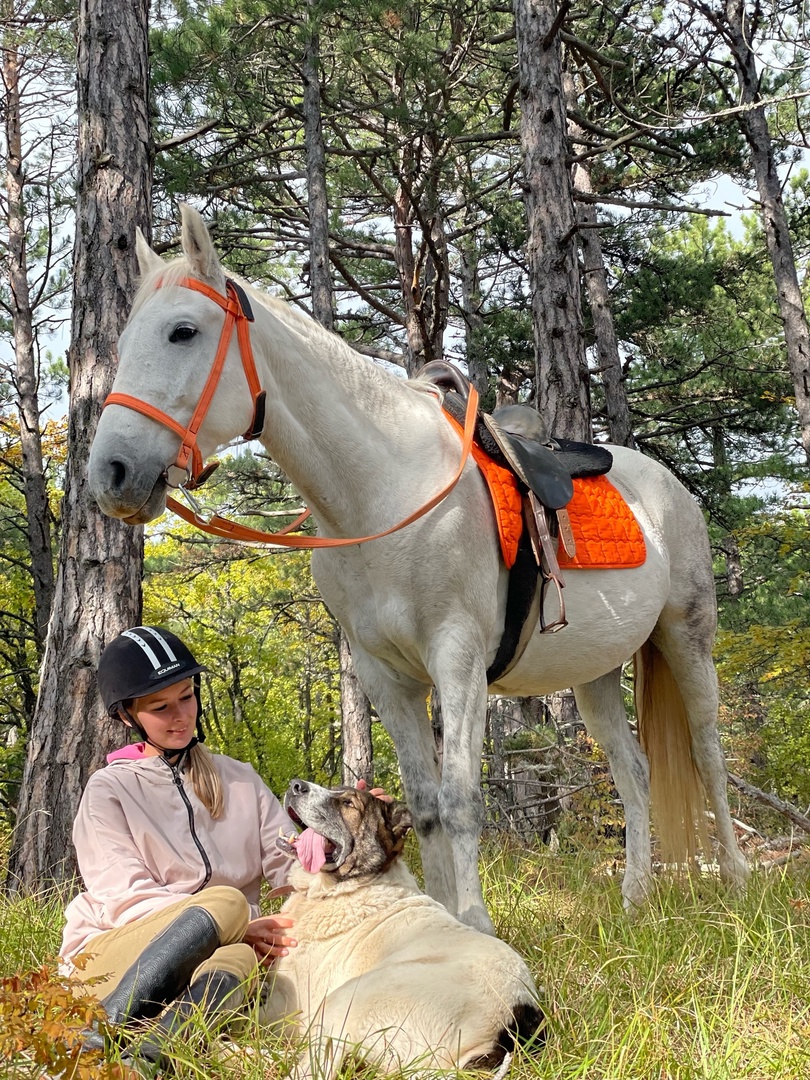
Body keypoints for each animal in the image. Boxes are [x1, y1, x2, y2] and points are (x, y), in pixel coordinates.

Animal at [87, 206, 749, 934]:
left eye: (183, 331)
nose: (111, 473)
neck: (388, 492)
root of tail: (669, 487)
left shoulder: (455, 660)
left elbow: (459, 802)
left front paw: (478, 925)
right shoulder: (388, 677)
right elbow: (424, 806)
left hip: (687, 638)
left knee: (708, 752)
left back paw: (740, 882)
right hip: (595, 673)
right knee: (634, 770)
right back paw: (635, 899)